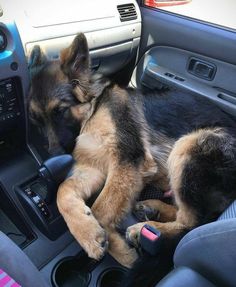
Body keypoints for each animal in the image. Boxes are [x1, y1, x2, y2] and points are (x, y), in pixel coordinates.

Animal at [28, 33, 236, 270]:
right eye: (36, 120)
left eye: (60, 111)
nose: (50, 161)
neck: (94, 109)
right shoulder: (94, 167)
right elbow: (63, 191)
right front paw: (86, 233)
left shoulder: (127, 160)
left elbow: (100, 209)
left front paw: (119, 251)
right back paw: (151, 208)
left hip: (189, 145)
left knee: (191, 224)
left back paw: (144, 230)